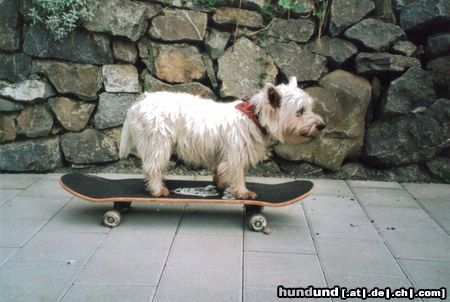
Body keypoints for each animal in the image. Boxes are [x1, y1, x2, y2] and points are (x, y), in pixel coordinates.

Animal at [119, 76, 324, 198]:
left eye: (309, 108)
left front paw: (221, 183)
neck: (255, 117)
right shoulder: (236, 153)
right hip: (158, 142)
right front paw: (242, 192)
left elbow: (220, 169)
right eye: (300, 111)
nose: (322, 125)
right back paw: (157, 189)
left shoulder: (222, 152)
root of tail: (138, 104)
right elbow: (238, 173)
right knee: (152, 166)